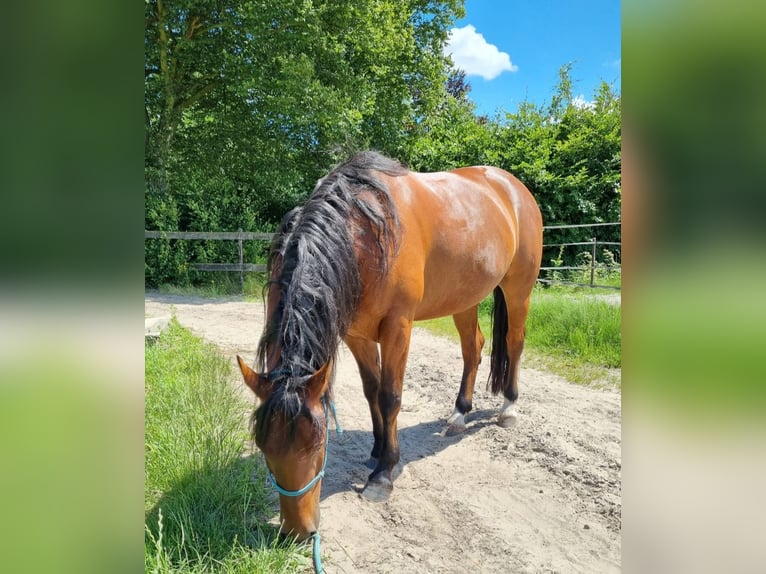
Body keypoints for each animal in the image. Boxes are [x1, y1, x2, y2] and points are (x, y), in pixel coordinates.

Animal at [237, 150, 544, 544]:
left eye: (319, 446)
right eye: (264, 449)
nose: (299, 532)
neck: (363, 233)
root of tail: (513, 187)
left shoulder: (398, 327)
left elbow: (390, 396)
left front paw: (384, 473)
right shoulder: (356, 334)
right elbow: (371, 390)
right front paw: (376, 450)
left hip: (519, 290)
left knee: (514, 343)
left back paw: (508, 408)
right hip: (465, 298)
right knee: (472, 349)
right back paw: (459, 414)